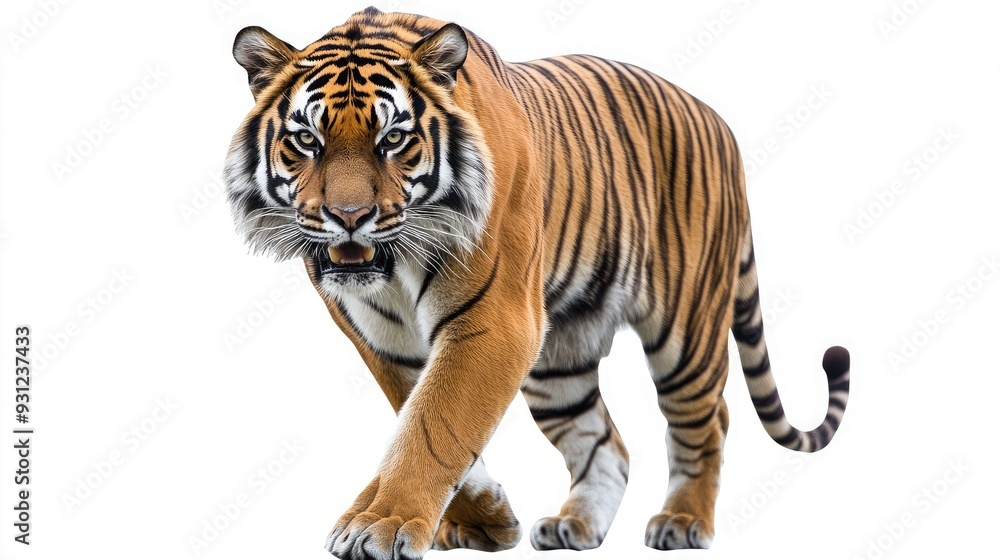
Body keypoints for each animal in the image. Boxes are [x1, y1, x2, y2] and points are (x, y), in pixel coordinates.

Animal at [223, 7, 850, 559]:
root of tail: (718, 119)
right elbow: (422, 417)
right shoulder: (383, 340)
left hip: (686, 329)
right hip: (559, 358)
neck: (393, 268)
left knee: (707, 419)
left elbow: (432, 423)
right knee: (607, 442)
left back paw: (683, 520)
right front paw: (486, 520)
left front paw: (383, 524)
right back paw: (577, 525)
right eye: (307, 141)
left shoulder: (494, 322)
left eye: (393, 139)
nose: (349, 217)